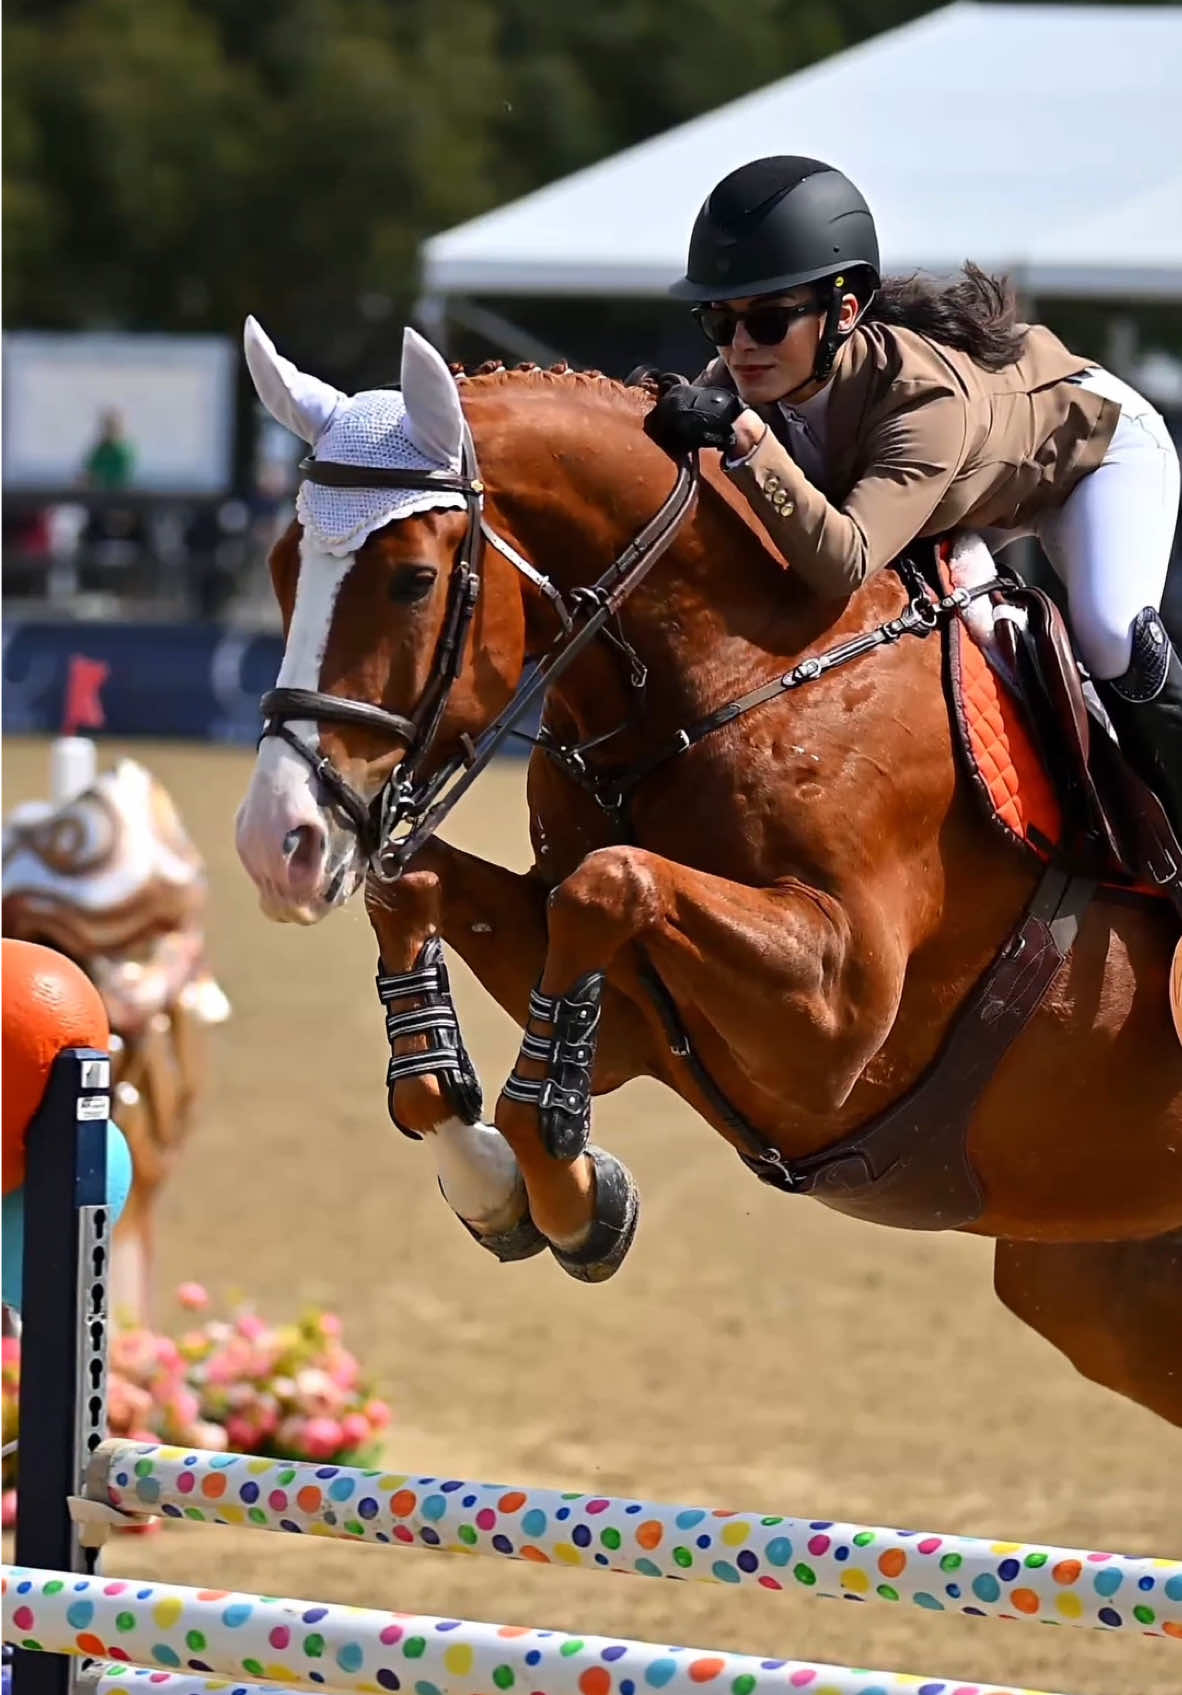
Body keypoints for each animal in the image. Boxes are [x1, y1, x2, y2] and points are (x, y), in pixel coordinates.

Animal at [235, 318, 1182, 1426]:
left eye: (413, 581)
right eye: (282, 564)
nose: (278, 843)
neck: (740, 672)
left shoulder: (835, 1028)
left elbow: (609, 885)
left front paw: (571, 1193)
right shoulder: (645, 1022)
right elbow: (428, 895)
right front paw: (502, 1185)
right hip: (1099, 1291)